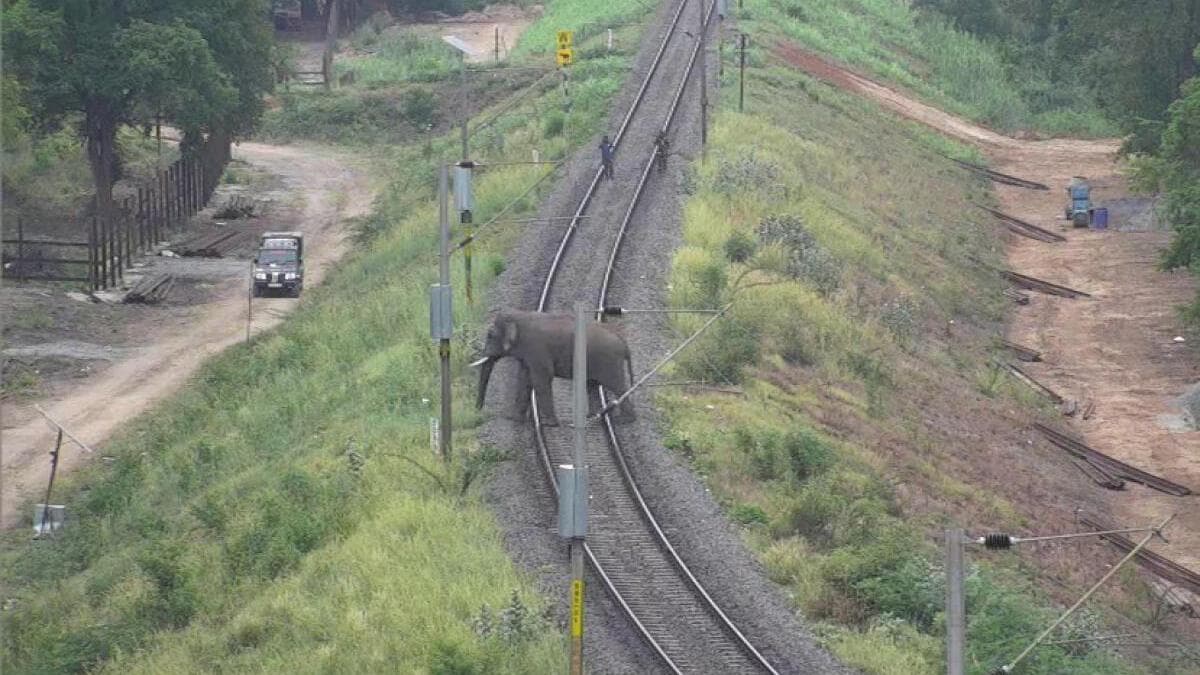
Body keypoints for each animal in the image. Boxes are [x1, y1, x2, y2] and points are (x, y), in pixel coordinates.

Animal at [473, 311, 636, 426]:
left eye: (490, 335)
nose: (478, 411)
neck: (518, 315)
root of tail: (623, 340)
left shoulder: (537, 348)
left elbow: (541, 379)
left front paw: (548, 424)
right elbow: (525, 379)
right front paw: (514, 419)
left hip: (609, 361)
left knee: (616, 386)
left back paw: (624, 420)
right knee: (592, 385)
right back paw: (591, 417)